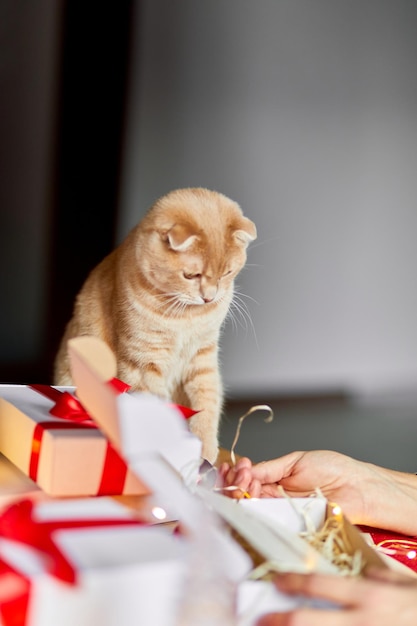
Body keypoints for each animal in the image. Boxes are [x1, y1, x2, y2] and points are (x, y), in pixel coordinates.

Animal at [53, 188, 255, 460]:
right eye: (191, 275)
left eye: (227, 273)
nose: (209, 297)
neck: (185, 316)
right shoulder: (143, 364)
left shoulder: (203, 357)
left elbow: (207, 402)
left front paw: (205, 449)